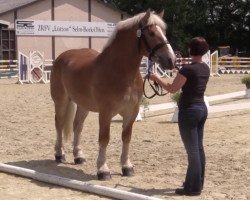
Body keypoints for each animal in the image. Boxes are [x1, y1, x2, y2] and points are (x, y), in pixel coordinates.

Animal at [50, 9, 176, 180]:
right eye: (151, 33)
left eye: (164, 32)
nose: (171, 60)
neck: (119, 70)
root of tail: (62, 57)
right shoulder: (105, 112)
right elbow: (104, 138)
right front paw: (103, 169)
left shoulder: (131, 112)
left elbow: (126, 137)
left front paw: (126, 167)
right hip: (61, 100)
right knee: (60, 124)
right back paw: (59, 154)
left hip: (83, 105)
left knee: (78, 126)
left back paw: (78, 156)